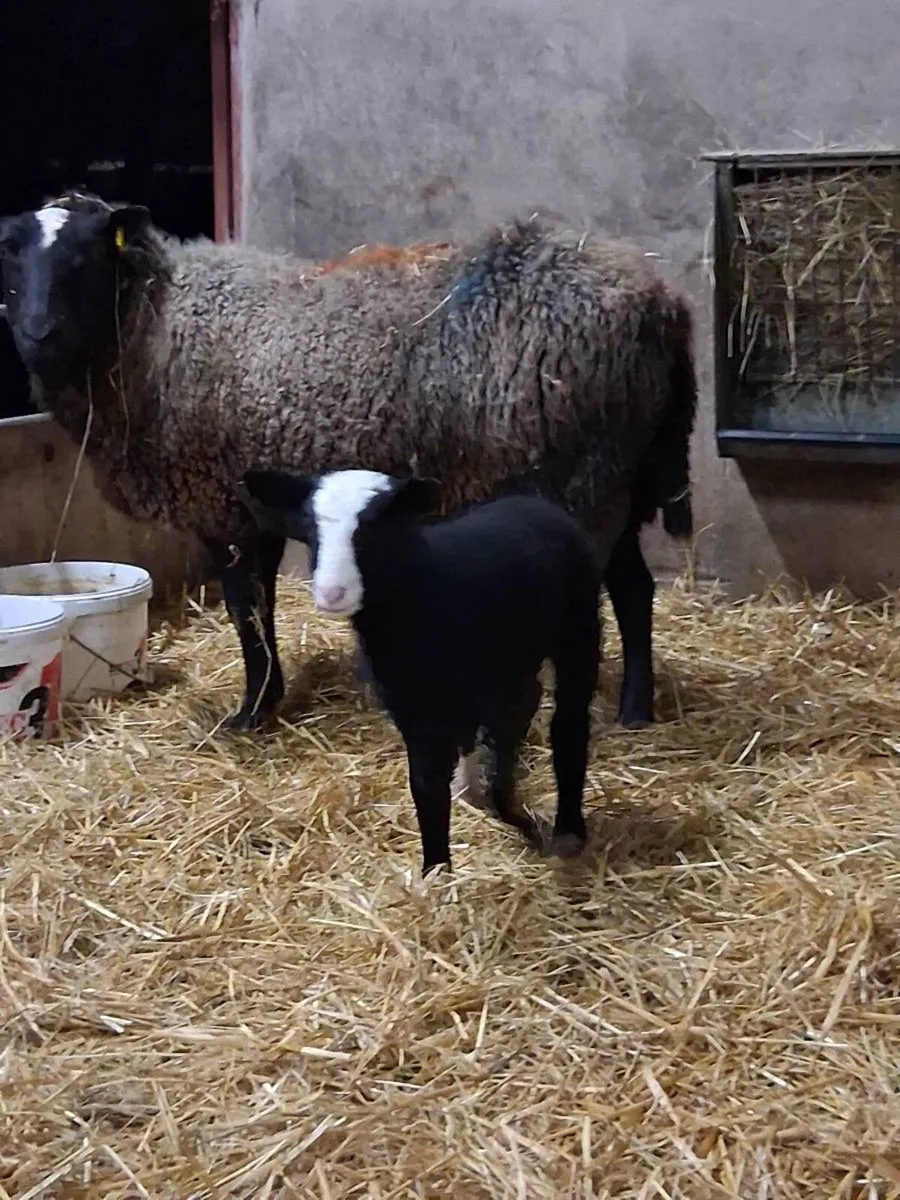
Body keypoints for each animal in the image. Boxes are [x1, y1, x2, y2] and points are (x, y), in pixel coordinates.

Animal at [0, 189, 696, 732]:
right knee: (634, 588)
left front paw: (248, 716)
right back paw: (635, 711)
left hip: (584, 477)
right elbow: (261, 609)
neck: (152, 328)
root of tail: (661, 299)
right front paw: (268, 701)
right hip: (618, 478)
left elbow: (244, 609)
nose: (37, 333)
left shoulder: (222, 506)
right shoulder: (257, 503)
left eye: (85, 256)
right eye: (12, 257)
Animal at [237, 466, 602, 874]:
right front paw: (435, 870)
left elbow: (499, 765)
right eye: (309, 528)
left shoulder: (495, 691)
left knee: (569, 721)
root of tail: (533, 502)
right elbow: (426, 783)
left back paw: (569, 828)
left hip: (577, 628)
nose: (332, 593)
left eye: (375, 525)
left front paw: (524, 827)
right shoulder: (411, 706)